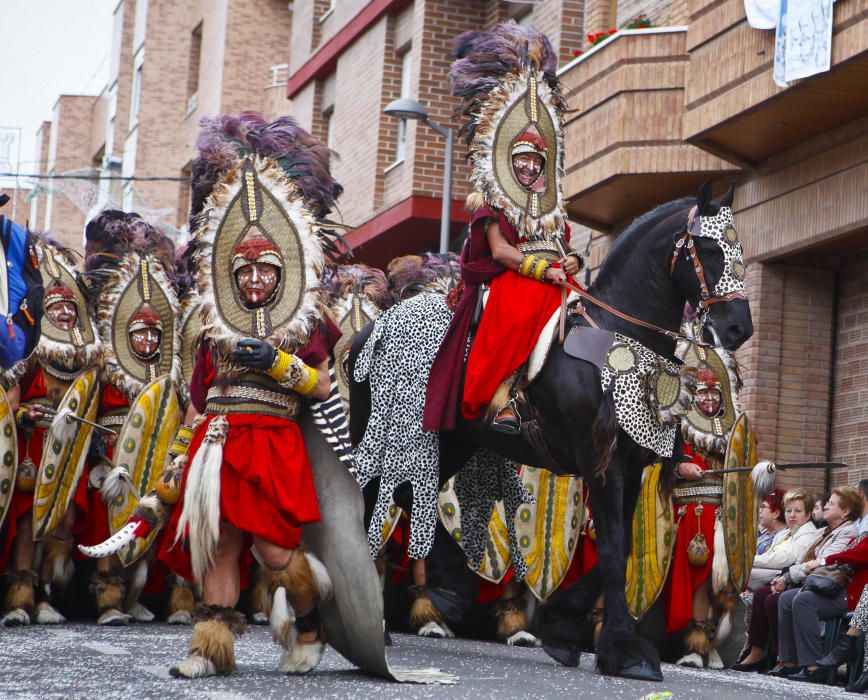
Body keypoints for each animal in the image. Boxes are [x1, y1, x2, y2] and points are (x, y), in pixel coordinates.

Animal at [348, 183, 752, 680]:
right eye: (711, 249)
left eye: (740, 248)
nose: (738, 327)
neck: (619, 333)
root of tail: (370, 330)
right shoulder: (603, 465)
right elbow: (614, 550)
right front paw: (626, 651)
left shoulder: (631, 467)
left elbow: (619, 550)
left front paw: (562, 631)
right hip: (387, 437)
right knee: (370, 502)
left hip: (449, 443)